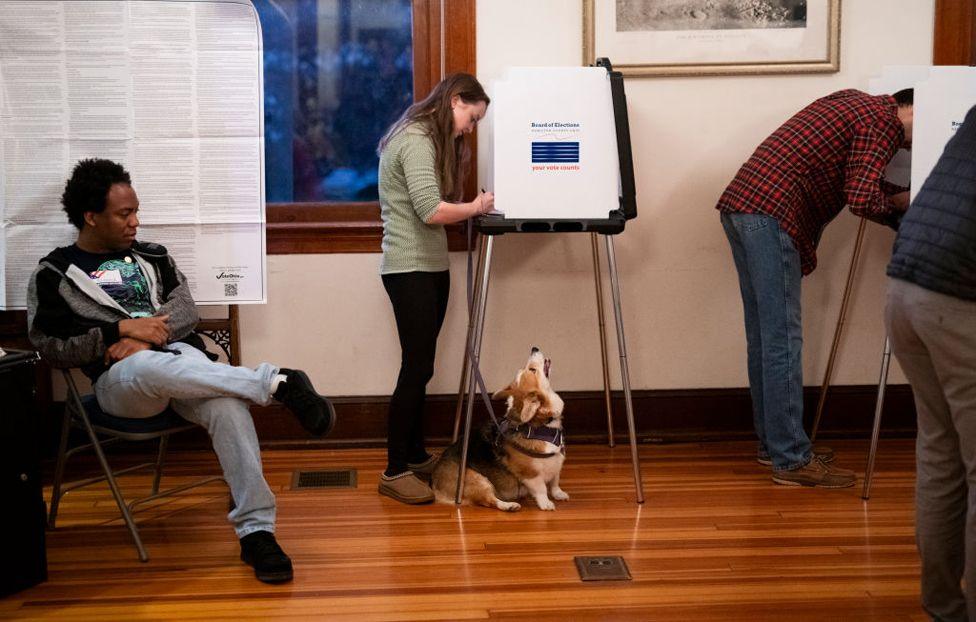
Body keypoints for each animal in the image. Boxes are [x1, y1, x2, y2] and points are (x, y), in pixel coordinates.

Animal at [432, 348, 568, 516]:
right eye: (532, 370)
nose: (534, 348)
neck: (541, 425)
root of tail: (435, 485)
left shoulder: (556, 463)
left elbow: (555, 481)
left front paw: (558, 494)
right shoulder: (530, 475)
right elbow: (541, 488)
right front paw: (546, 503)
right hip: (476, 478)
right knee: (489, 500)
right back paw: (509, 505)